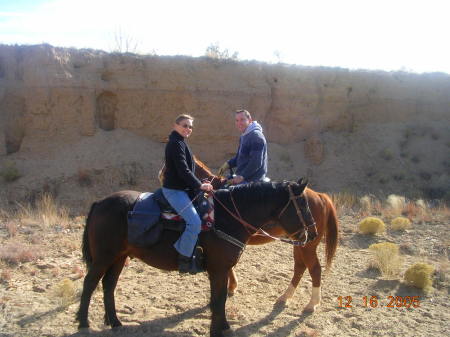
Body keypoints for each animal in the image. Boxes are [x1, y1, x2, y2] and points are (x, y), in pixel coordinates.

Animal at [75, 178, 314, 336]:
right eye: (302, 204)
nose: (311, 233)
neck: (225, 218)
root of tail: (100, 203)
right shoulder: (219, 270)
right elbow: (218, 300)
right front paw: (218, 330)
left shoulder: (221, 270)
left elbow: (219, 298)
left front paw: (222, 326)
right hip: (104, 257)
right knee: (90, 283)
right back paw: (83, 322)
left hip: (119, 257)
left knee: (109, 285)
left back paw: (115, 322)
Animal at [195, 159, 340, 312]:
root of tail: (320, 196)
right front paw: (232, 285)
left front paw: (232, 286)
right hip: (300, 242)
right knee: (300, 267)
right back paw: (286, 296)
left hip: (308, 246)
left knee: (315, 269)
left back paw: (312, 303)